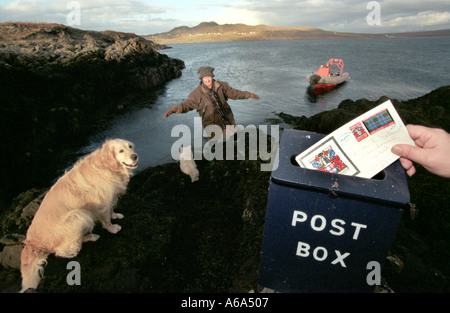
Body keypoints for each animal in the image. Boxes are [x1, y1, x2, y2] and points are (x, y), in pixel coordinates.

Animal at [19, 138, 139, 292]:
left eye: (130, 146)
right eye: (121, 151)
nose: (134, 156)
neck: (108, 166)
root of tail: (33, 242)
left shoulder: (110, 199)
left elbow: (112, 210)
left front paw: (116, 215)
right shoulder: (102, 203)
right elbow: (106, 220)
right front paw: (112, 229)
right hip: (79, 216)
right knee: (62, 251)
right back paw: (91, 237)